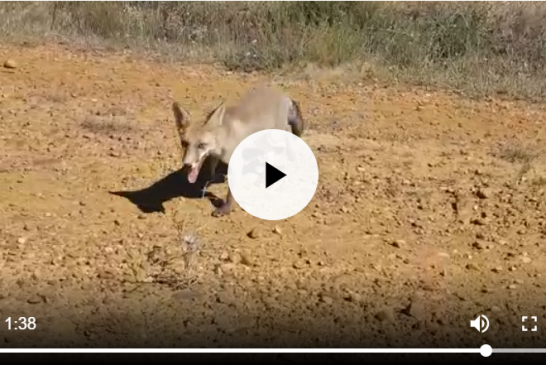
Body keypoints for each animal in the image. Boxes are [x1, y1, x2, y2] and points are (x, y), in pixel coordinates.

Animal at [170, 85, 304, 216]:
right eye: (184, 143)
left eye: (201, 145)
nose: (187, 164)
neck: (224, 137)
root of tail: (283, 95)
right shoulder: (215, 156)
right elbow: (212, 169)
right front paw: (208, 181)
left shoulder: (236, 163)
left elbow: (230, 193)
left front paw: (226, 209)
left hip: (275, 135)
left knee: (288, 131)